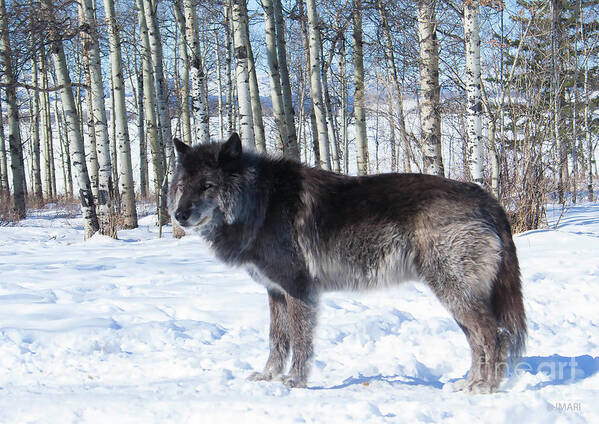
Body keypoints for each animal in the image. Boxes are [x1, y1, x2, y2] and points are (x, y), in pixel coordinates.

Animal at [169, 133, 524, 394]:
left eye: (208, 186)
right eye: (182, 186)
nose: (178, 215)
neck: (263, 202)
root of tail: (486, 198)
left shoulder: (299, 290)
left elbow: (300, 341)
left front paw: (294, 382)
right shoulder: (276, 292)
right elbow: (277, 340)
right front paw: (268, 377)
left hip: (455, 294)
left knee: (495, 334)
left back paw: (487, 388)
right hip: (456, 298)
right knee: (478, 340)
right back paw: (468, 383)